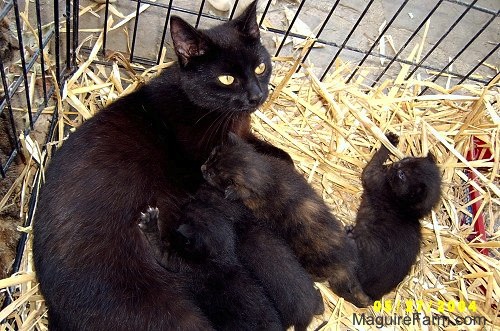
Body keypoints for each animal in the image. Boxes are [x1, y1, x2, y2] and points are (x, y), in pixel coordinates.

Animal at [32, 1, 290, 330]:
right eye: (227, 79)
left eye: (260, 66)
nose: (257, 96)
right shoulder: (205, 165)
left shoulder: (242, 137)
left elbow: (281, 155)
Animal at [140, 185, 324, 330]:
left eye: (188, 210)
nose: (190, 195)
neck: (220, 257)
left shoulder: (180, 262)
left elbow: (160, 250)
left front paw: (150, 222)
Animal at [346, 133, 440, 300]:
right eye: (407, 160)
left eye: (402, 176)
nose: (396, 166)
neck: (404, 207)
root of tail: (372, 295)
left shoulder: (373, 177)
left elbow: (375, 161)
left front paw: (388, 143)